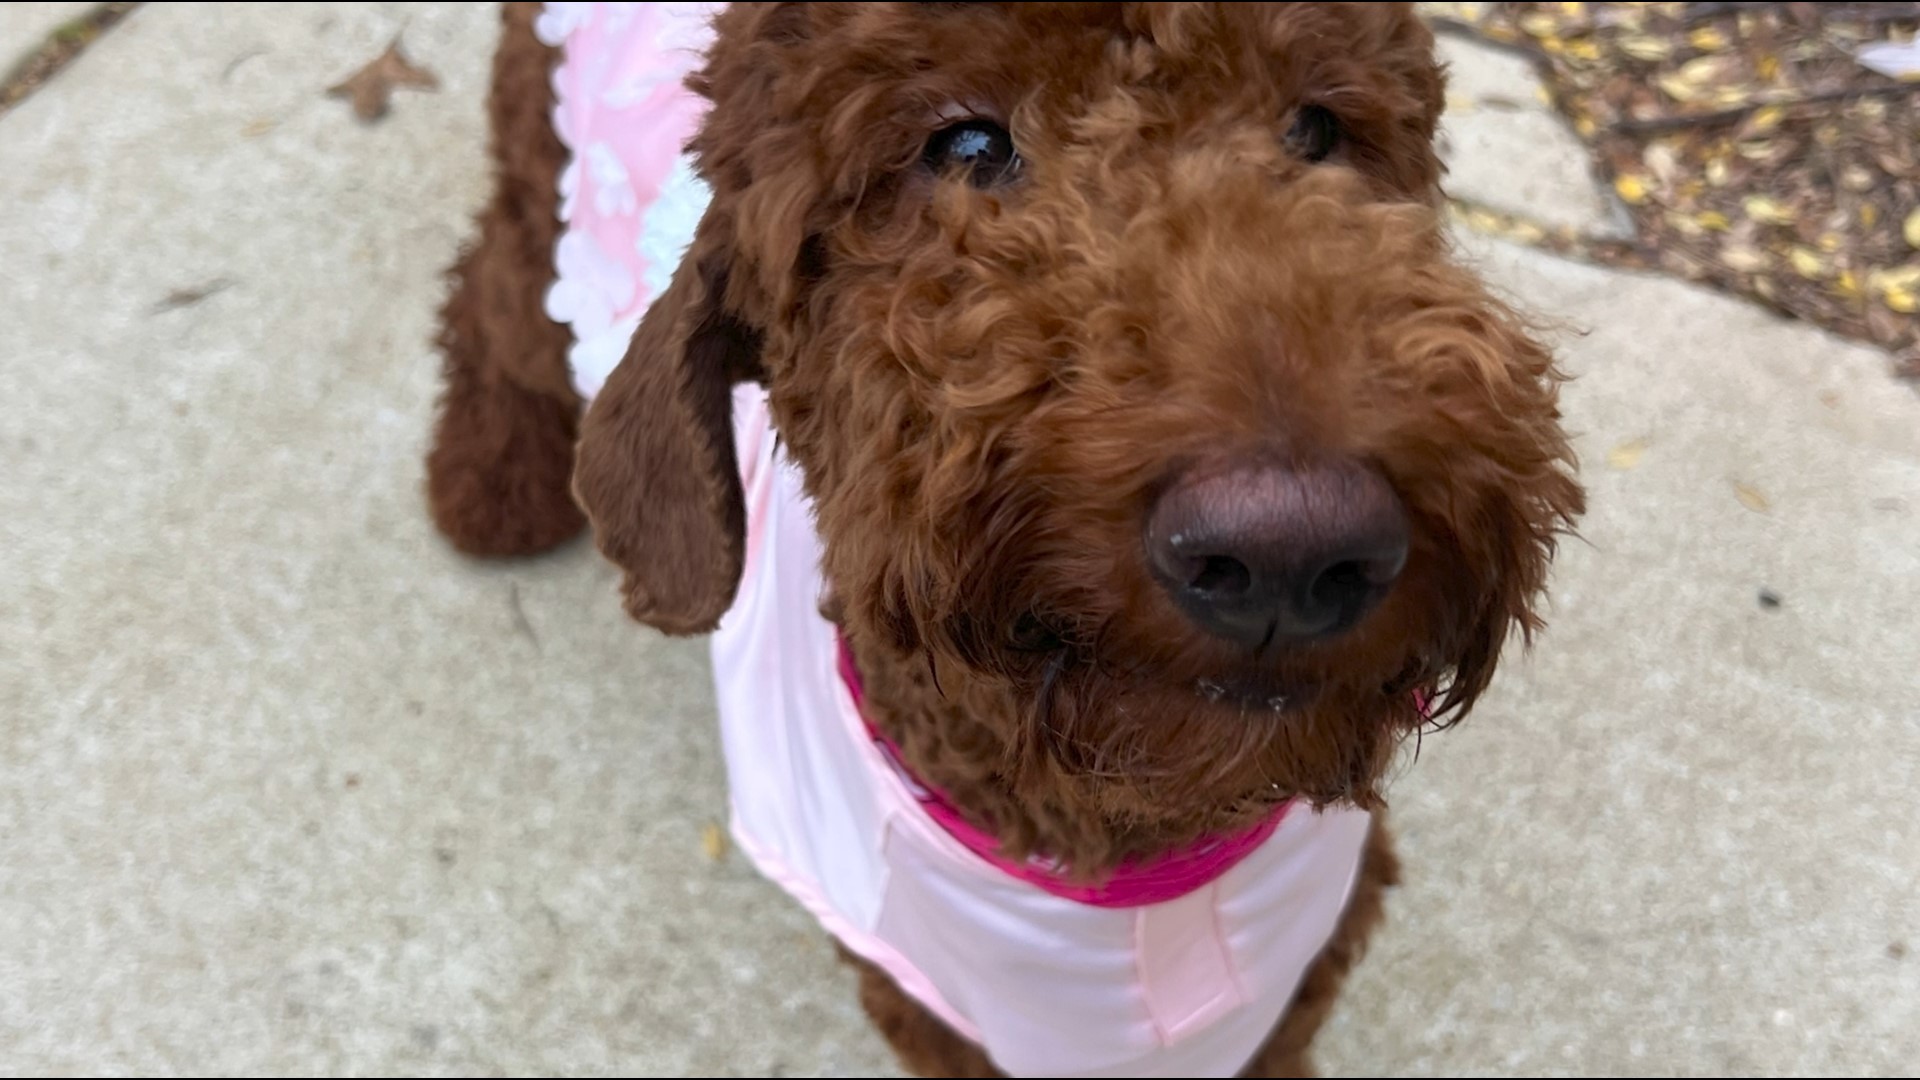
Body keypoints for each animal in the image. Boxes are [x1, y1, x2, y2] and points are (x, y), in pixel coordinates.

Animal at [428, 4, 1582, 1068]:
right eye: (968, 148)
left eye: (1317, 129)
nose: (1286, 551)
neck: (1133, 861)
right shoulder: (942, 1011)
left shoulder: (1305, 973)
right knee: (498, 286)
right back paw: (488, 487)